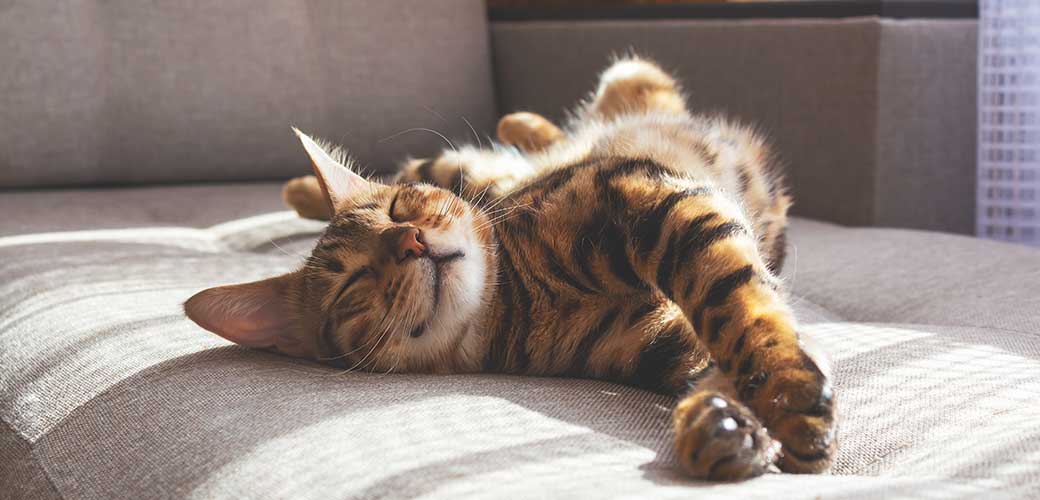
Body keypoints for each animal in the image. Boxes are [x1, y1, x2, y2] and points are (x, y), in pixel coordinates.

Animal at [185, 55, 836, 480]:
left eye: (399, 209)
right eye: (352, 283)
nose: (410, 240)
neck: (520, 298)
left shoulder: (646, 192)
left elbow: (739, 308)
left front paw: (785, 398)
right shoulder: (662, 339)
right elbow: (720, 347)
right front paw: (726, 425)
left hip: (555, 128)